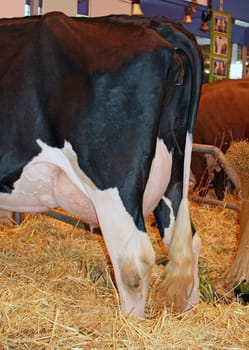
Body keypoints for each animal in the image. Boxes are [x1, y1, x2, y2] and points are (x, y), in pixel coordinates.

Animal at [0, 12, 202, 318]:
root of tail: (158, 25)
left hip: (112, 182)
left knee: (134, 260)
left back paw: (130, 323)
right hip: (172, 178)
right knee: (188, 242)